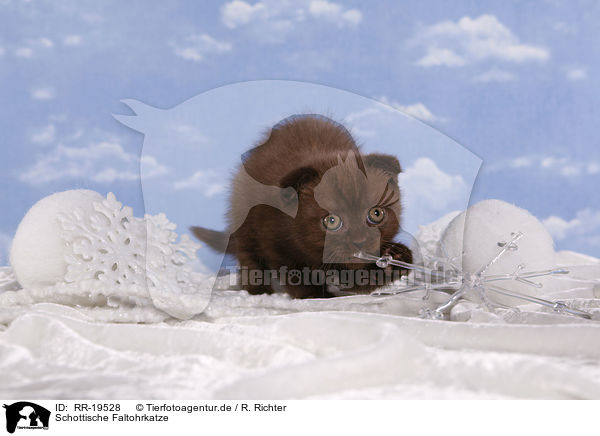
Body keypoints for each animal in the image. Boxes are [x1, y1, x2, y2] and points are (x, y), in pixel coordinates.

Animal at [192, 115, 412, 300]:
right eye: (332, 221)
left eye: (376, 213)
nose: (360, 241)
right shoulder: (273, 237)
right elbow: (293, 272)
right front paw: (314, 295)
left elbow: (357, 282)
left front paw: (397, 256)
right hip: (244, 219)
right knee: (249, 256)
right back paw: (258, 291)